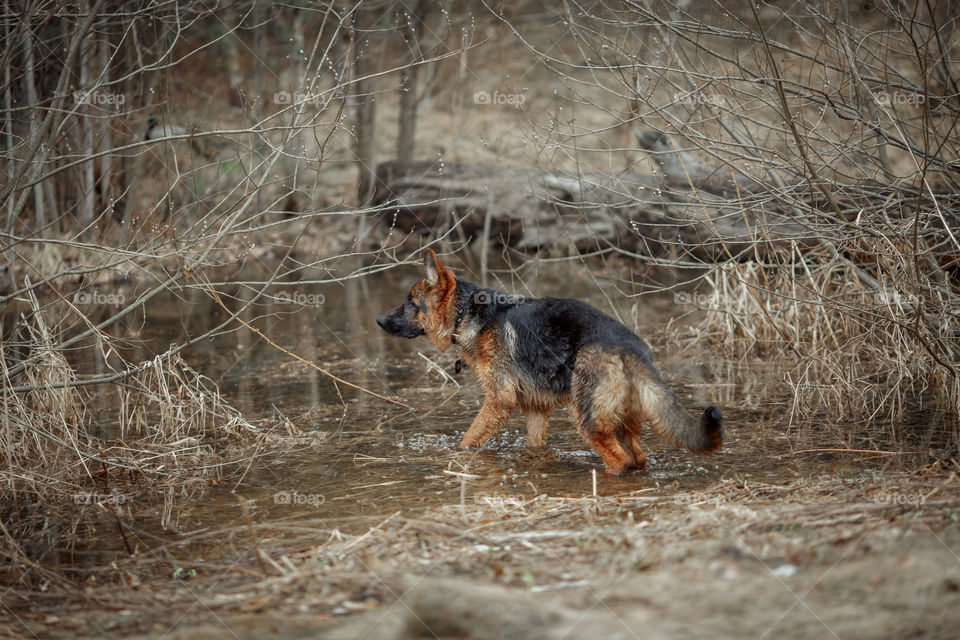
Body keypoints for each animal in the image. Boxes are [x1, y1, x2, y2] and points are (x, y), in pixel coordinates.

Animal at [376, 250, 720, 476]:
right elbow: (534, 445)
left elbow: (467, 439)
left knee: (619, 460)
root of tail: (628, 345)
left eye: (410, 302)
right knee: (639, 457)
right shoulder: (536, 408)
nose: (379, 321)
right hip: (621, 420)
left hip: (586, 416)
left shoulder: (498, 401)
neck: (466, 315)